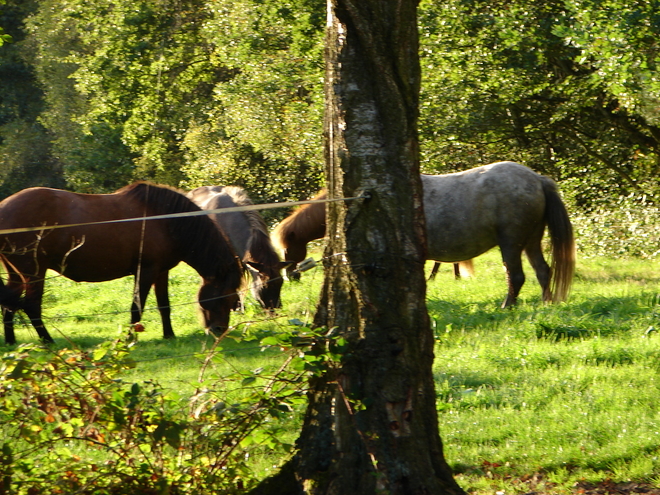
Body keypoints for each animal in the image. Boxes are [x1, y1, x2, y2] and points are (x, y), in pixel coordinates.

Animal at [0, 181, 244, 344]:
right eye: (226, 297)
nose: (219, 330)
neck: (165, 220)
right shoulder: (145, 271)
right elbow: (137, 307)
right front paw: (130, 338)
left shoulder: (161, 272)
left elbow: (164, 305)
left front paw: (169, 335)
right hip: (34, 272)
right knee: (31, 306)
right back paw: (48, 341)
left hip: (16, 273)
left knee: (9, 305)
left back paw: (12, 343)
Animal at [272, 163, 572, 308]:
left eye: (286, 249)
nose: (289, 276)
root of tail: (537, 179)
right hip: (531, 241)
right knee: (543, 271)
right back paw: (546, 303)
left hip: (511, 242)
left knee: (517, 276)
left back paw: (507, 305)